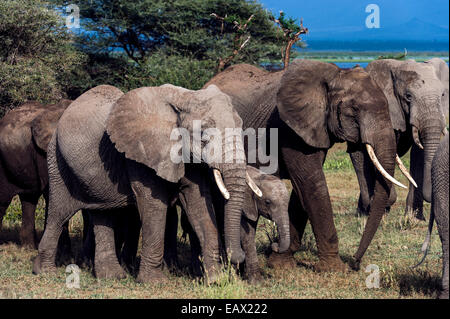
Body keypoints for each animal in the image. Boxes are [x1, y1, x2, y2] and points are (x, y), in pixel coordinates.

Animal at [32, 85, 260, 284]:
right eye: (203, 136)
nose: (237, 257)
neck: (184, 98)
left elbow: (198, 205)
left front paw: (216, 281)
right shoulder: (142, 155)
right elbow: (154, 205)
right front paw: (154, 282)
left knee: (102, 214)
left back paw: (112, 277)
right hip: (57, 161)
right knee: (59, 214)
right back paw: (45, 272)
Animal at [206, 60, 414, 272]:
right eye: (354, 109)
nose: (356, 262)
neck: (335, 76)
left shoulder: (314, 128)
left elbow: (301, 190)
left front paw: (280, 263)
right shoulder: (289, 128)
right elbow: (312, 185)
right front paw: (334, 269)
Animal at [350, 58, 448, 220]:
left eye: (442, 95)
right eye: (408, 96)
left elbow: (418, 154)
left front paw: (415, 218)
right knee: (359, 156)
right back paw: (367, 212)